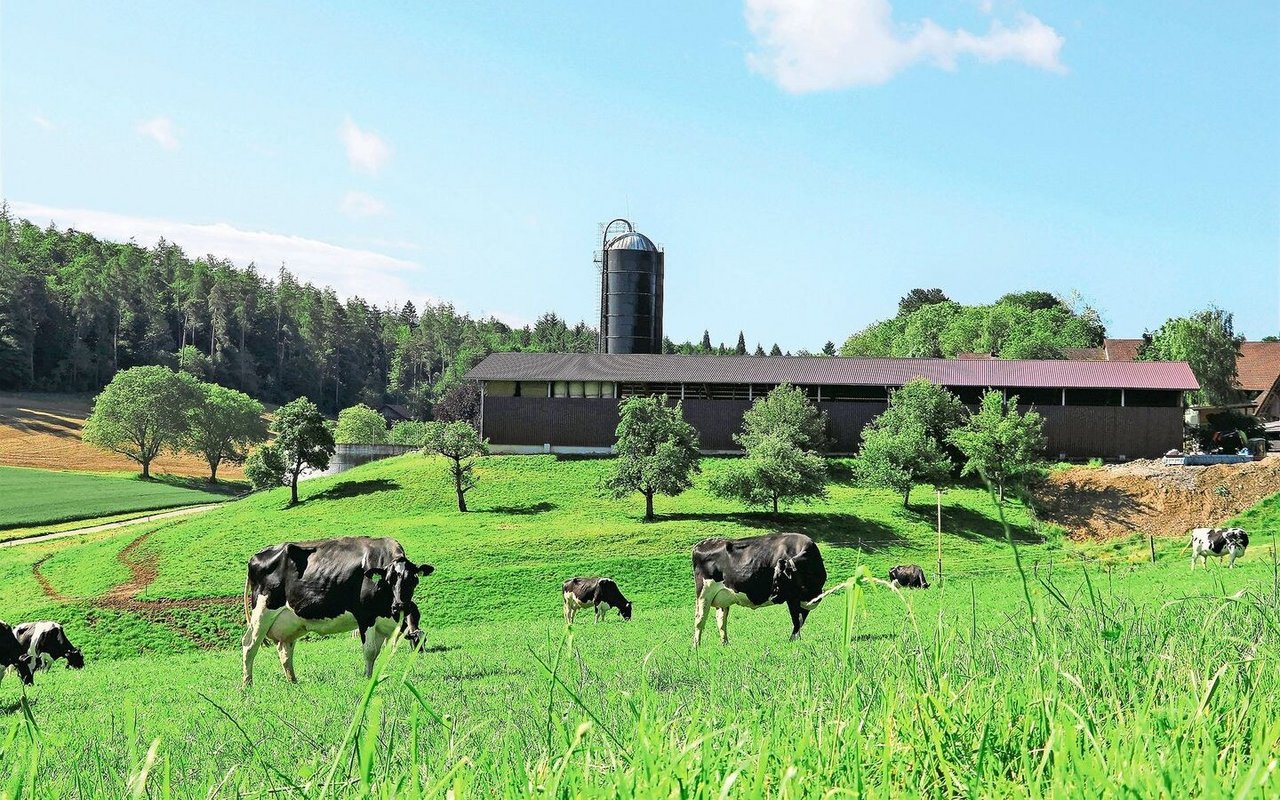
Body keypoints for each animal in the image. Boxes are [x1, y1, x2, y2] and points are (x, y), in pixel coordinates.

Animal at [240, 532, 435, 680]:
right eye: (388, 580)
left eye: (414, 580)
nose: (400, 605)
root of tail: (258, 554)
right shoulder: (365, 616)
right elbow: (370, 651)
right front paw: (367, 680)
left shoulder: (383, 623)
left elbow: (380, 652)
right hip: (263, 612)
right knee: (249, 645)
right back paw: (247, 685)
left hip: (291, 623)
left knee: (284, 650)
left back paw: (293, 682)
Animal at [691, 529, 829, 650]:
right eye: (774, 574)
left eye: (780, 576)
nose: (773, 596)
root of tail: (702, 544)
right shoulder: (793, 599)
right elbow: (796, 621)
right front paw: (793, 642)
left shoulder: (804, 602)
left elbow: (800, 621)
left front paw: (796, 641)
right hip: (704, 592)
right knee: (699, 619)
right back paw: (696, 647)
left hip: (723, 598)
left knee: (721, 620)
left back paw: (725, 644)